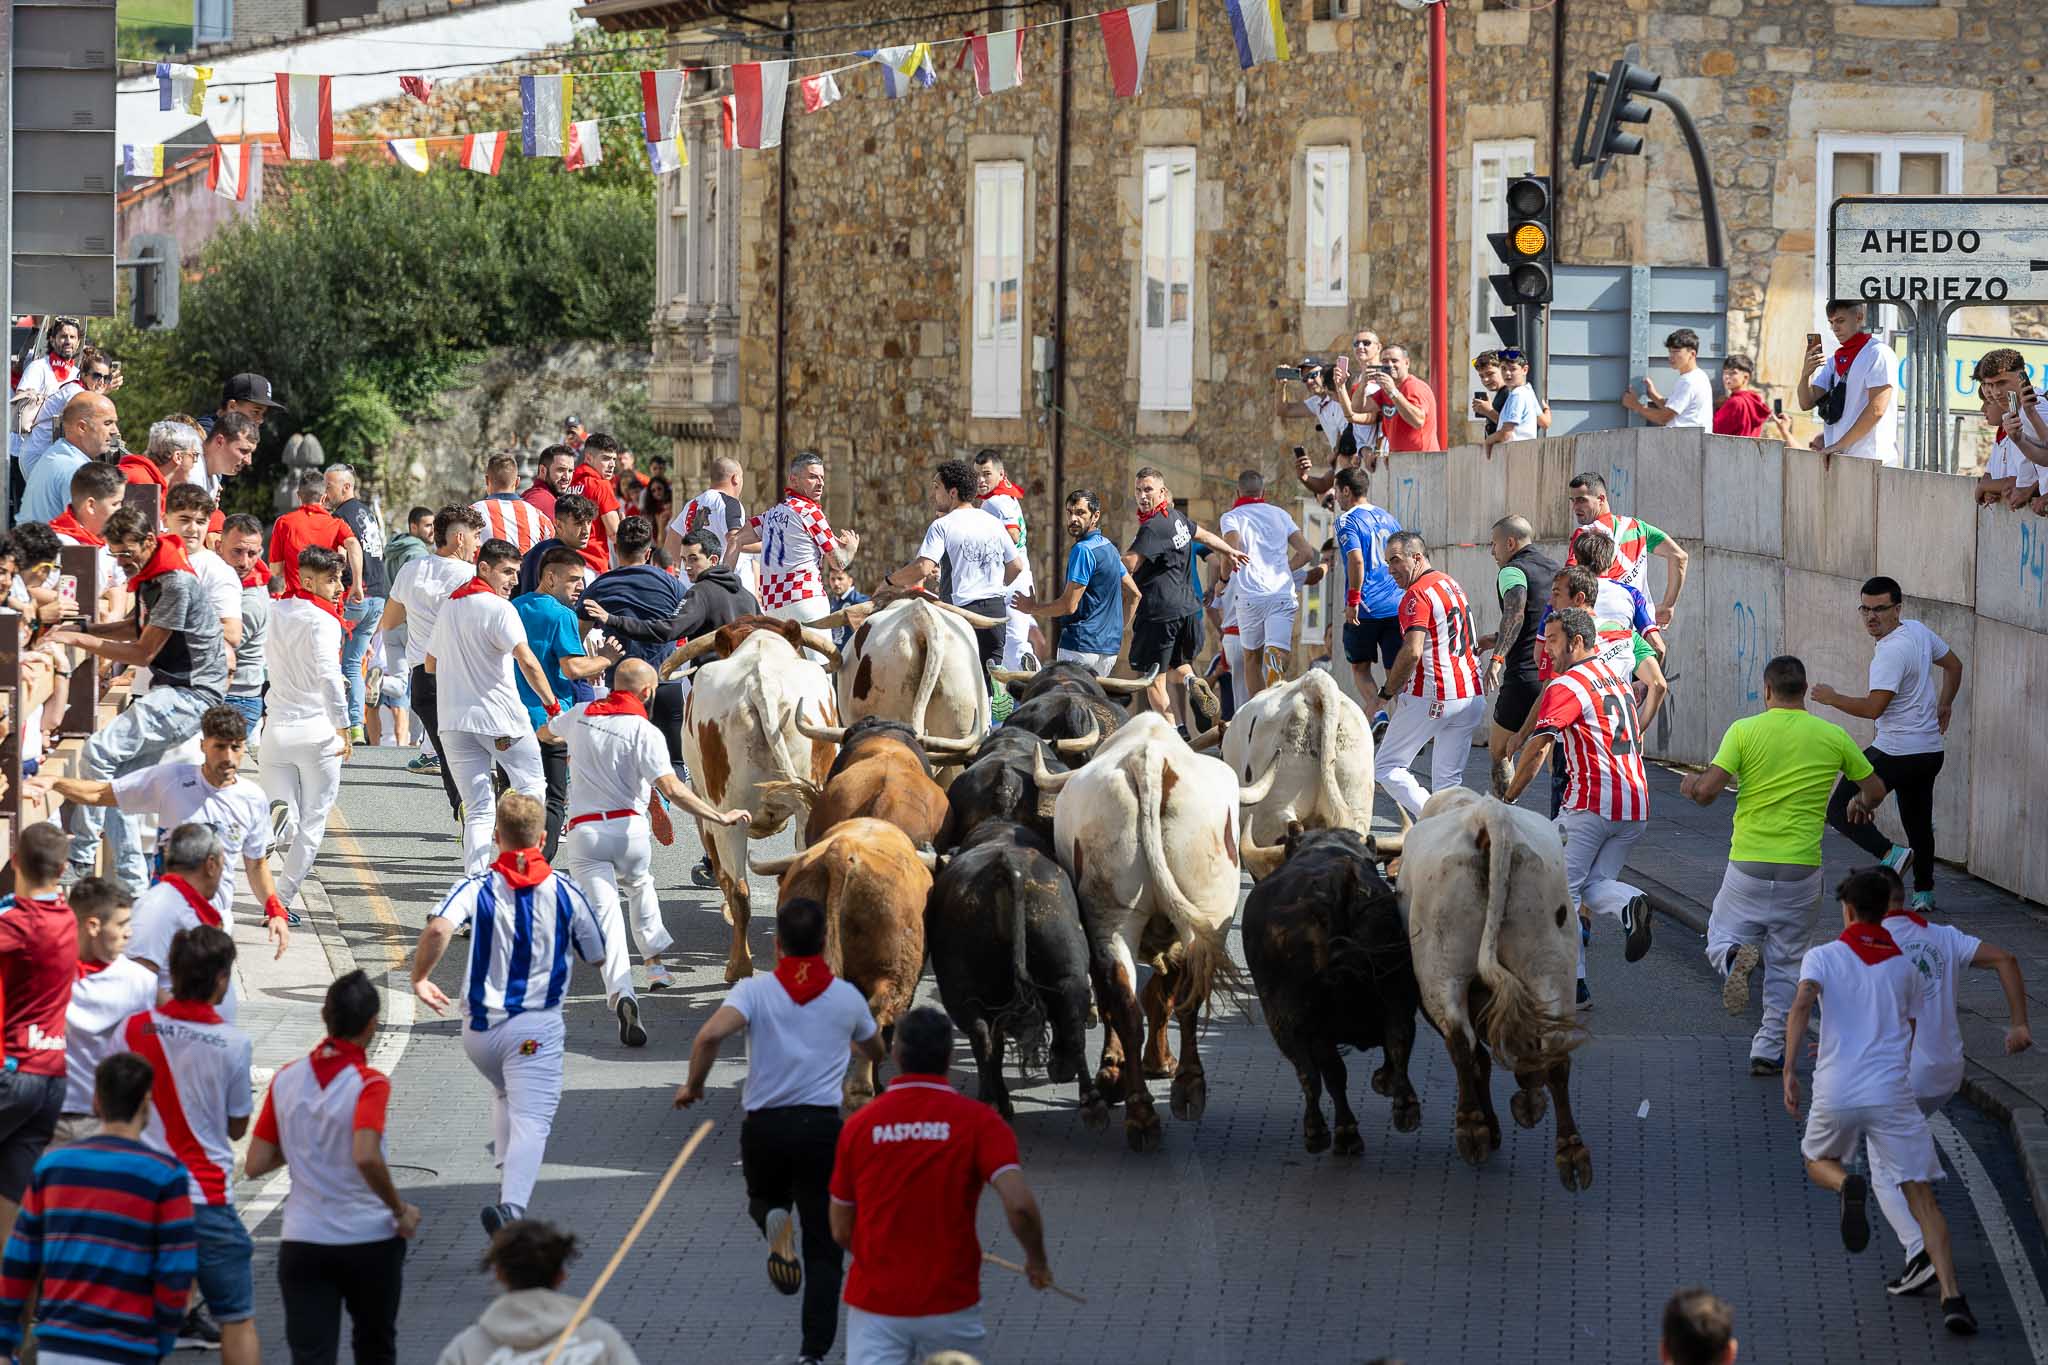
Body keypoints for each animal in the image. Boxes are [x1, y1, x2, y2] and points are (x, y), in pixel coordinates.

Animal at [679, 618, 839, 982]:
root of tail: (762, 685)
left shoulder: (703, 808)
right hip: (808, 806)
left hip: (726, 812)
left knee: (739, 890)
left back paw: (738, 966)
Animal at [1032, 716, 1236, 1154]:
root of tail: (1149, 759)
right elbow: (1162, 995)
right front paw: (1152, 1063)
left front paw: (1116, 1070)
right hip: (1202, 913)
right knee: (1185, 994)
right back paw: (1187, 1089)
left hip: (1110, 920)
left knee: (1125, 1004)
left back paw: (1141, 1111)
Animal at [1236, 826, 1417, 1162]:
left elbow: (1323, 1075)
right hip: (1397, 992)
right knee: (1399, 1038)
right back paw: (1404, 1106)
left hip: (1296, 1022)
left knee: (1317, 1074)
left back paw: (1327, 1133)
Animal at [1400, 785, 1589, 1186]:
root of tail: (1488, 817)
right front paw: (1528, 1097)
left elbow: (1477, 1058)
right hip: (1550, 962)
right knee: (1554, 1049)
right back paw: (1570, 1149)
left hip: (1441, 967)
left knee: (1461, 1041)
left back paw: (1473, 1127)